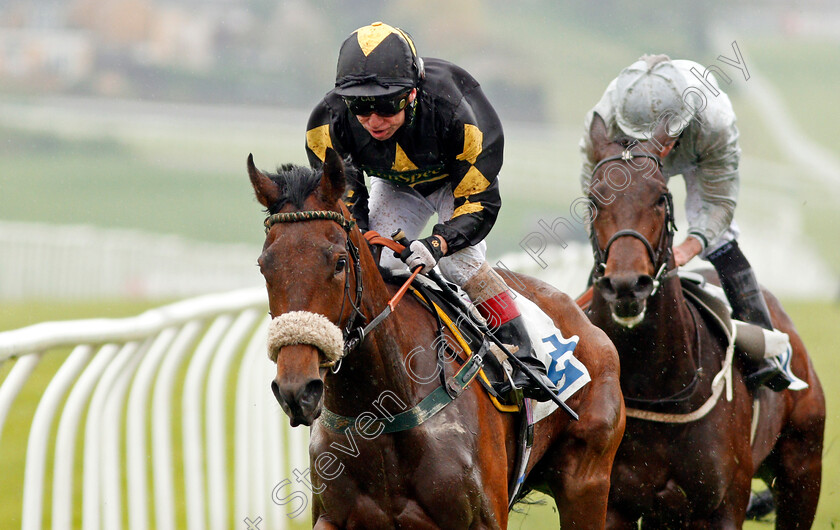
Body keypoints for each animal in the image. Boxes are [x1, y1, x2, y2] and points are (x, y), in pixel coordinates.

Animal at [246, 148, 628, 528]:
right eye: (264, 265)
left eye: (340, 262)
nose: (297, 389)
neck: (381, 413)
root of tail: (581, 315)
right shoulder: (332, 517)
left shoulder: (483, 519)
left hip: (587, 483)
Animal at [584, 113, 828, 524]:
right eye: (592, 199)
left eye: (661, 197)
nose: (626, 285)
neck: (659, 389)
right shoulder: (615, 505)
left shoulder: (724, 505)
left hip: (802, 471)